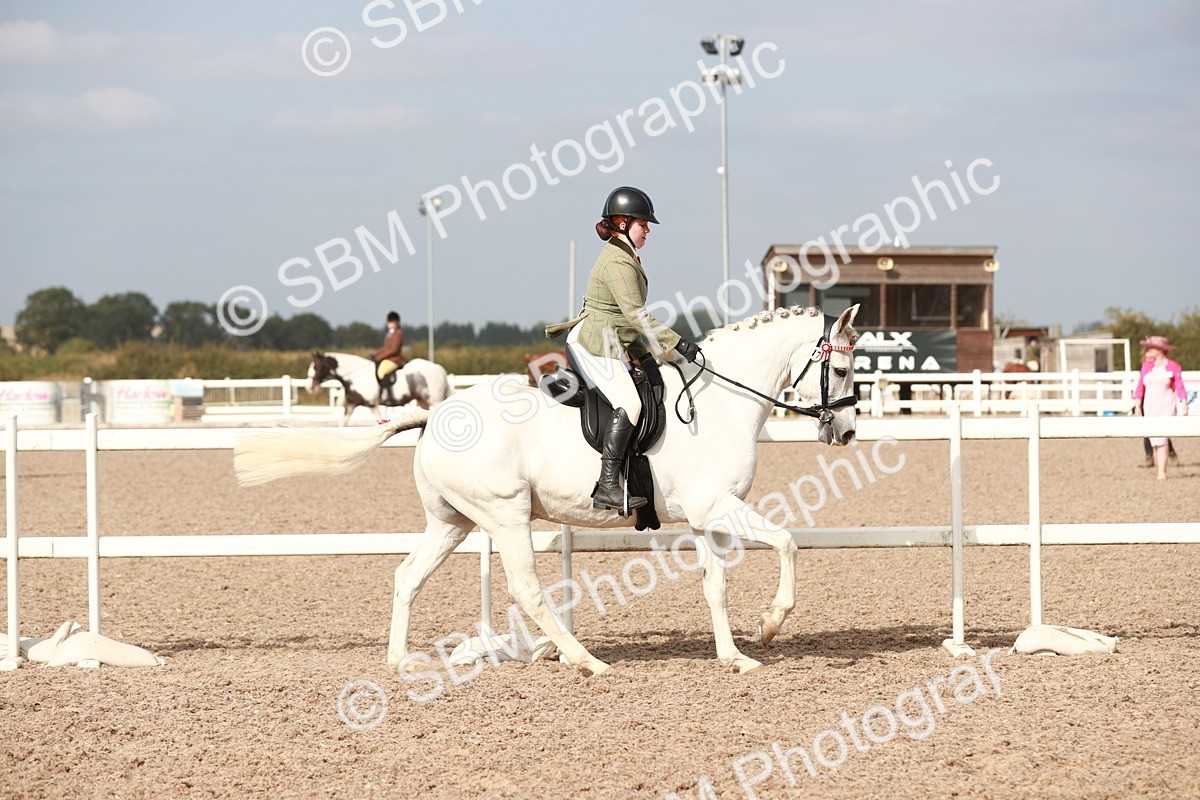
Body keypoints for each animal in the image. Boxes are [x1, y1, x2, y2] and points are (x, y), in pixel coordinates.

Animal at [307, 351, 451, 426]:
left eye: (316, 367)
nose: (309, 387)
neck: (355, 376)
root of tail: (439, 368)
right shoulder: (351, 405)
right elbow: (342, 423)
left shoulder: (372, 405)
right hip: (423, 401)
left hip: (435, 401)